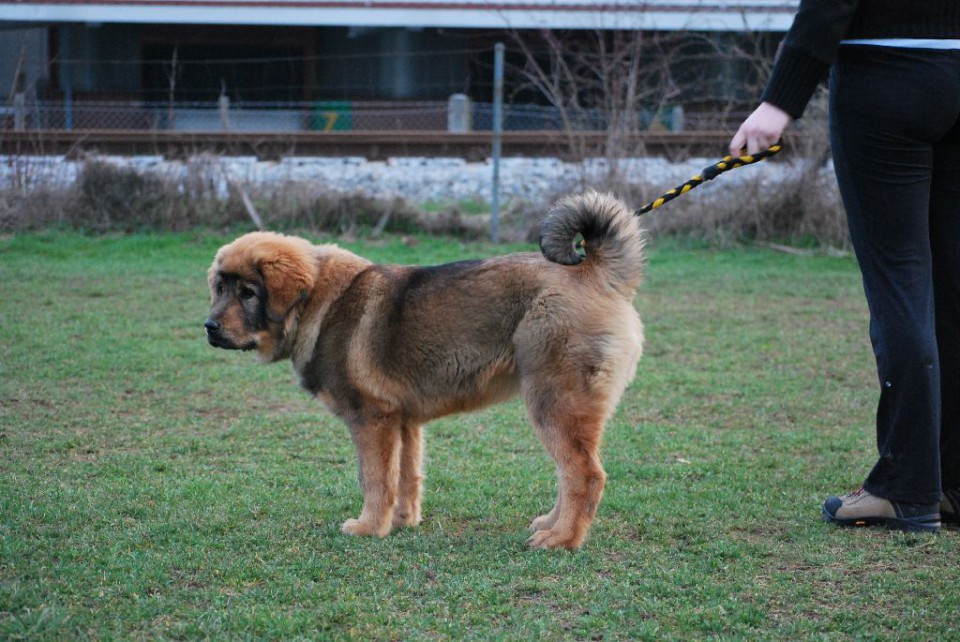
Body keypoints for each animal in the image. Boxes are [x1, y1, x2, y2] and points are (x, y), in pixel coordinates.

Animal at [206, 191, 648, 552]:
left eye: (248, 293)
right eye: (220, 288)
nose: (209, 327)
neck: (317, 301)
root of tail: (596, 273)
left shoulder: (371, 419)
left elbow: (375, 479)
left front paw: (369, 527)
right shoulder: (403, 421)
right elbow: (405, 477)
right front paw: (401, 522)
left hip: (553, 404)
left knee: (585, 475)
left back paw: (562, 539)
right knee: (569, 473)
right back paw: (550, 525)